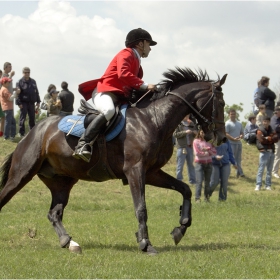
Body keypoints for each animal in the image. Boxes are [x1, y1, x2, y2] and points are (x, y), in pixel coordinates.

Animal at [0, 66, 228, 255]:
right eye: (221, 103)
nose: (221, 138)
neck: (154, 119)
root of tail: (33, 131)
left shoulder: (151, 172)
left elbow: (185, 189)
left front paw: (180, 228)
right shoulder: (135, 170)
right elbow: (141, 208)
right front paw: (145, 243)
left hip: (62, 181)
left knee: (54, 213)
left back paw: (70, 242)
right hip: (22, 173)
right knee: (6, 197)